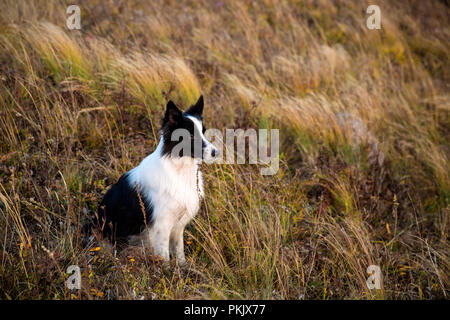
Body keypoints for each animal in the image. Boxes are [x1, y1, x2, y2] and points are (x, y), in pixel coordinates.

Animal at [87, 95, 218, 264]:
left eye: (203, 132)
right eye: (191, 136)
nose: (216, 152)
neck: (179, 169)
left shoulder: (177, 226)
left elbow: (179, 249)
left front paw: (182, 266)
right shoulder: (162, 226)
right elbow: (165, 255)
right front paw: (167, 269)